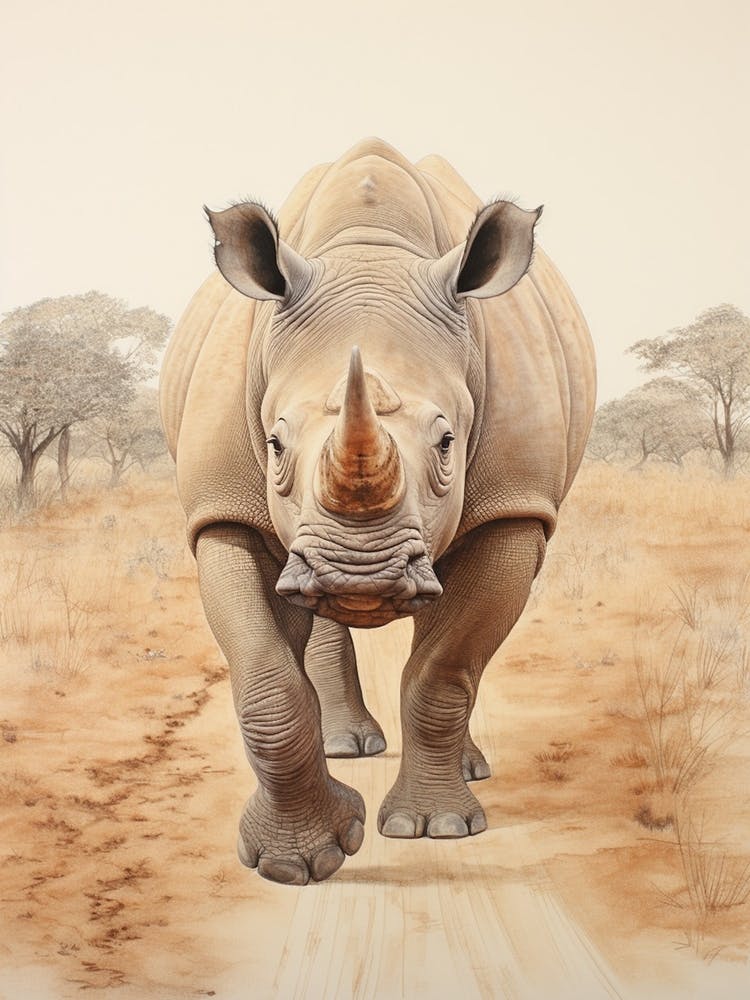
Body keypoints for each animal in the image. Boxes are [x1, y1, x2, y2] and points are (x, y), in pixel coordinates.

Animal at [159, 138, 596, 886]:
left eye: (447, 442)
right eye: (275, 443)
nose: (357, 575)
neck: (371, 252)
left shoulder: (513, 508)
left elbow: (446, 668)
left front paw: (434, 828)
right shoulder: (223, 511)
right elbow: (267, 683)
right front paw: (295, 862)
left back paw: (466, 772)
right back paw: (346, 746)